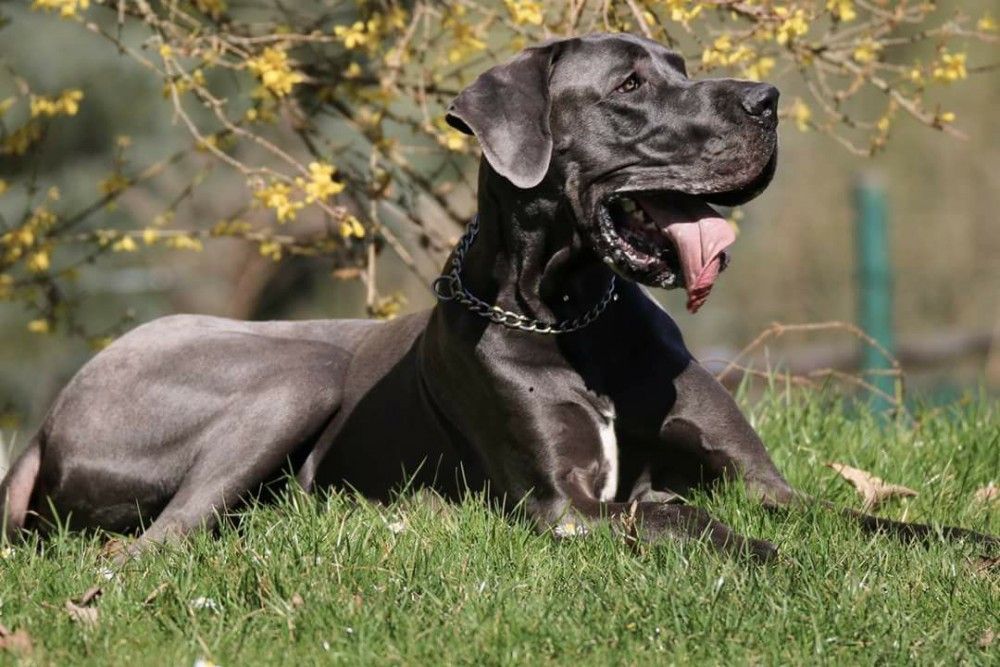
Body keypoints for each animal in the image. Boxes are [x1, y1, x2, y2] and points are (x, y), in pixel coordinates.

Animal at [2, 34, 994, 560]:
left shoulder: (769, 483)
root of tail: (42, 424)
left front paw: (964, 547)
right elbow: (684, 516)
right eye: (631, 85)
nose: (767, 100)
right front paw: (761, 556)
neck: (575, 313)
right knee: (155, 543)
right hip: (294, 372)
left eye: (681, 63)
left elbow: (865, 516)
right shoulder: (568, 508)